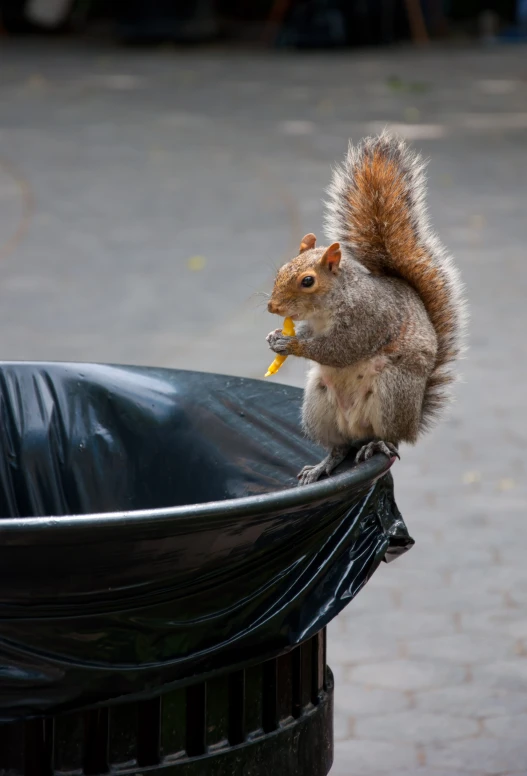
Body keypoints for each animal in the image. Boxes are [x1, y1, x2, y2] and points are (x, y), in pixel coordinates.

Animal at [268, 133, 466, 484]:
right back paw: (322, 465)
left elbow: (342, 348)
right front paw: (274, 336)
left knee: (390, 439)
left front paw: (292, 344)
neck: (328, 306)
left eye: (307, 281)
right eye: (282, 270)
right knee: (339, 447)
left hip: (391, 394)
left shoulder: (369, 318)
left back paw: (377, 445)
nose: (271, 306)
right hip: (319, 404)